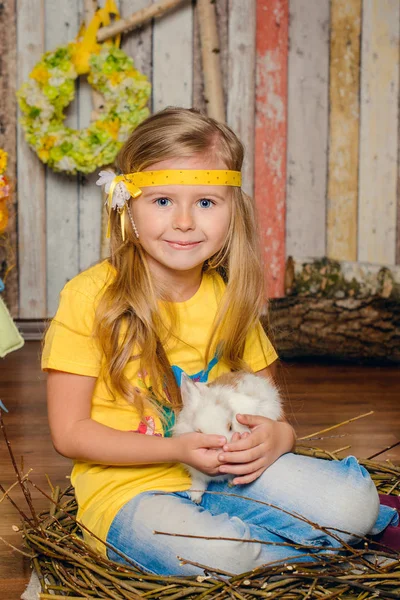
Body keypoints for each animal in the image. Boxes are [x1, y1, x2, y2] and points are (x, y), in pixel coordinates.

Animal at [171, 370, 282, 502]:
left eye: (230, 427)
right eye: (198, 432)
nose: (217, 448)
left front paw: (232, 482)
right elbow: (199, 481)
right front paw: (195, 497)